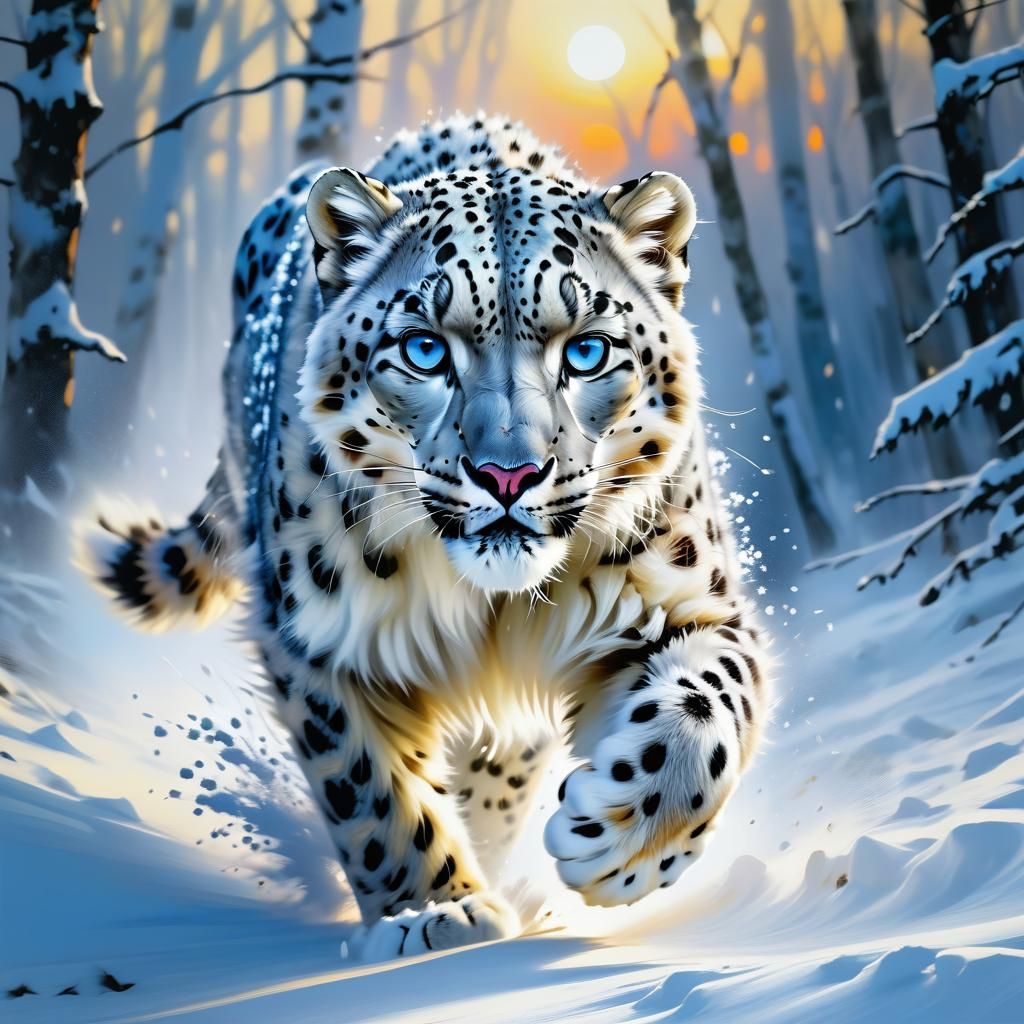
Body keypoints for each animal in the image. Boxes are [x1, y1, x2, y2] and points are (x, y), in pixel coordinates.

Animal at [80, 113, 770, 962]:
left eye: (586, 349)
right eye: (424, 348)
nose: (508, 474)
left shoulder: (682, 598)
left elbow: (707, 710)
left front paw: (617, 842)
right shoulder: (320, 641)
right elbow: (370, 789)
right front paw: (435, 914)